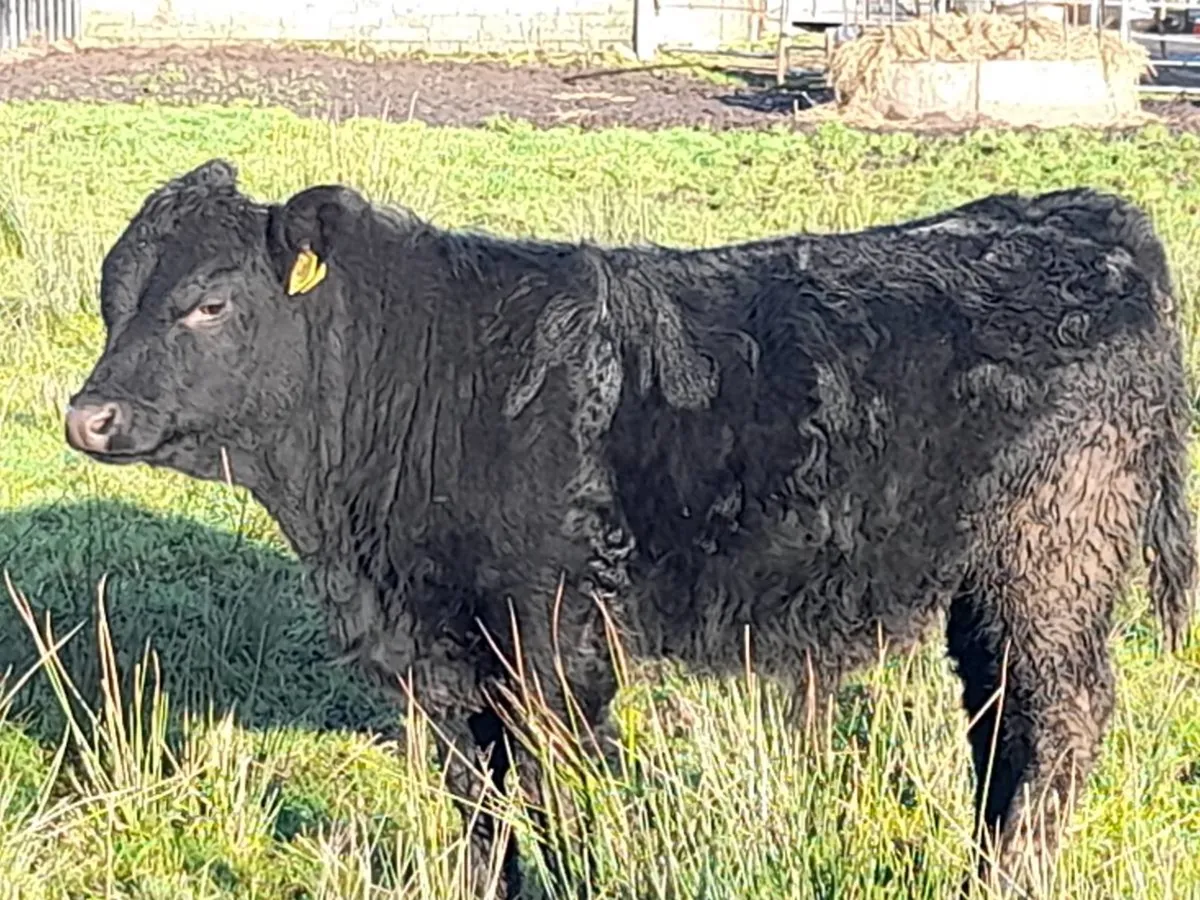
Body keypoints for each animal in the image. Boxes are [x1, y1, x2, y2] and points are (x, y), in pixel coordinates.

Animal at [65, 158, 1195, 898]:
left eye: (208, 304)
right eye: (113, 296)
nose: (90, 416)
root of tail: (1081, 217)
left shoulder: (553, 639)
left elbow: (560, 795)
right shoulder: (442, 661)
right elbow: (479, 805)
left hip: (1052, 558)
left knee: (1057, 717)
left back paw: (1005, 874)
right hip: (988, 582)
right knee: (998, 716)